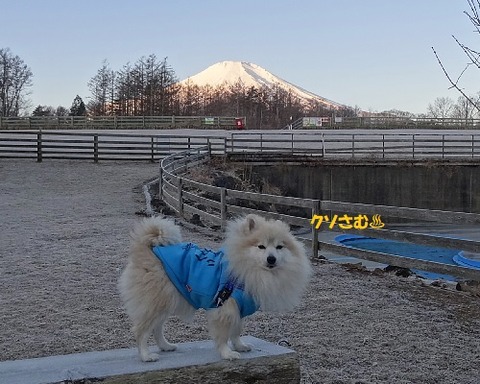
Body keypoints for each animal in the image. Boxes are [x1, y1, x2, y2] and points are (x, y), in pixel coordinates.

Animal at [116, 214, 312, 362]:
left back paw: (165, 346)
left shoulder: (238, 309)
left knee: (157, 328)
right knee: (141, 331)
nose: (271, 259)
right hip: (155, 302)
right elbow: (223, 335)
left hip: (164, 302)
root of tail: (147, 249)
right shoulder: (224, 307)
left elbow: (237, 331)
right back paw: (146, 356)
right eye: (261, 247)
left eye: (279, 247)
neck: (247, 268)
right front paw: (228, 353)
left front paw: (240, 346)